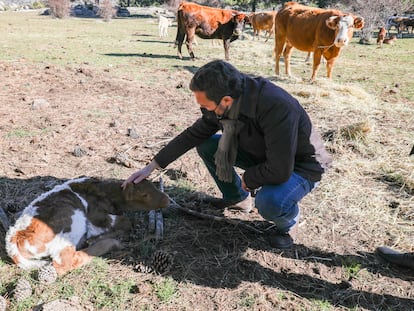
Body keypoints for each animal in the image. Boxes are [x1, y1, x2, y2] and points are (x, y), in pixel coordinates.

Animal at [4, 177, 170, 276]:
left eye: (154, 187)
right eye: (145, 195)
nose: (167, 199)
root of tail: (14, 236)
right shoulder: (95, 217)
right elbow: (125, 220)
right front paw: (99, 237)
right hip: (73, 220)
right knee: (64, 262)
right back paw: (108, 243)